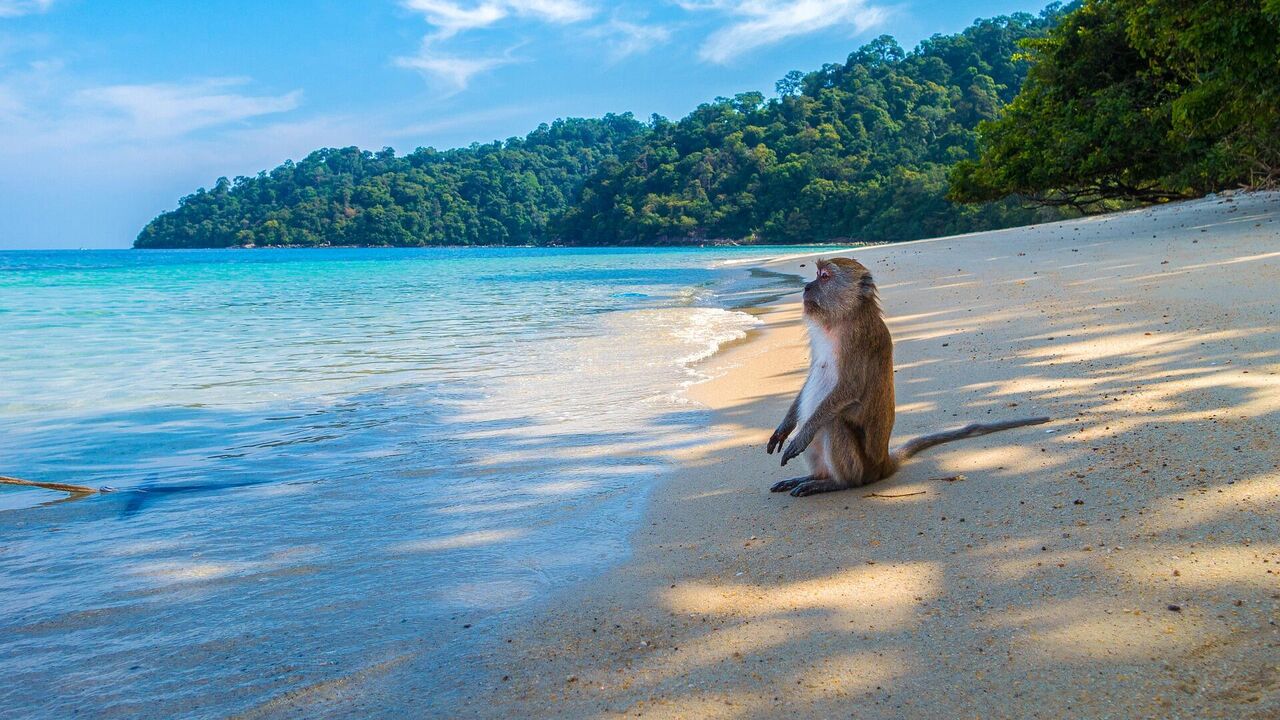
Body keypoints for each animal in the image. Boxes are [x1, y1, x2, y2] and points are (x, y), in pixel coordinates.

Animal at [762, 254, 1044, 497]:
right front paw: (785, 428)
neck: (843, 317)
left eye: (824, 276)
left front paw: (802, 435)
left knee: (833, 422)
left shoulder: (857, 340)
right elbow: (811, 378)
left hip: (862, 467)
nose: (807, 287)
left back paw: (835, 483)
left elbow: (849, 389)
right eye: (817, 275)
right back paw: (814, 477)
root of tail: (883, 463)